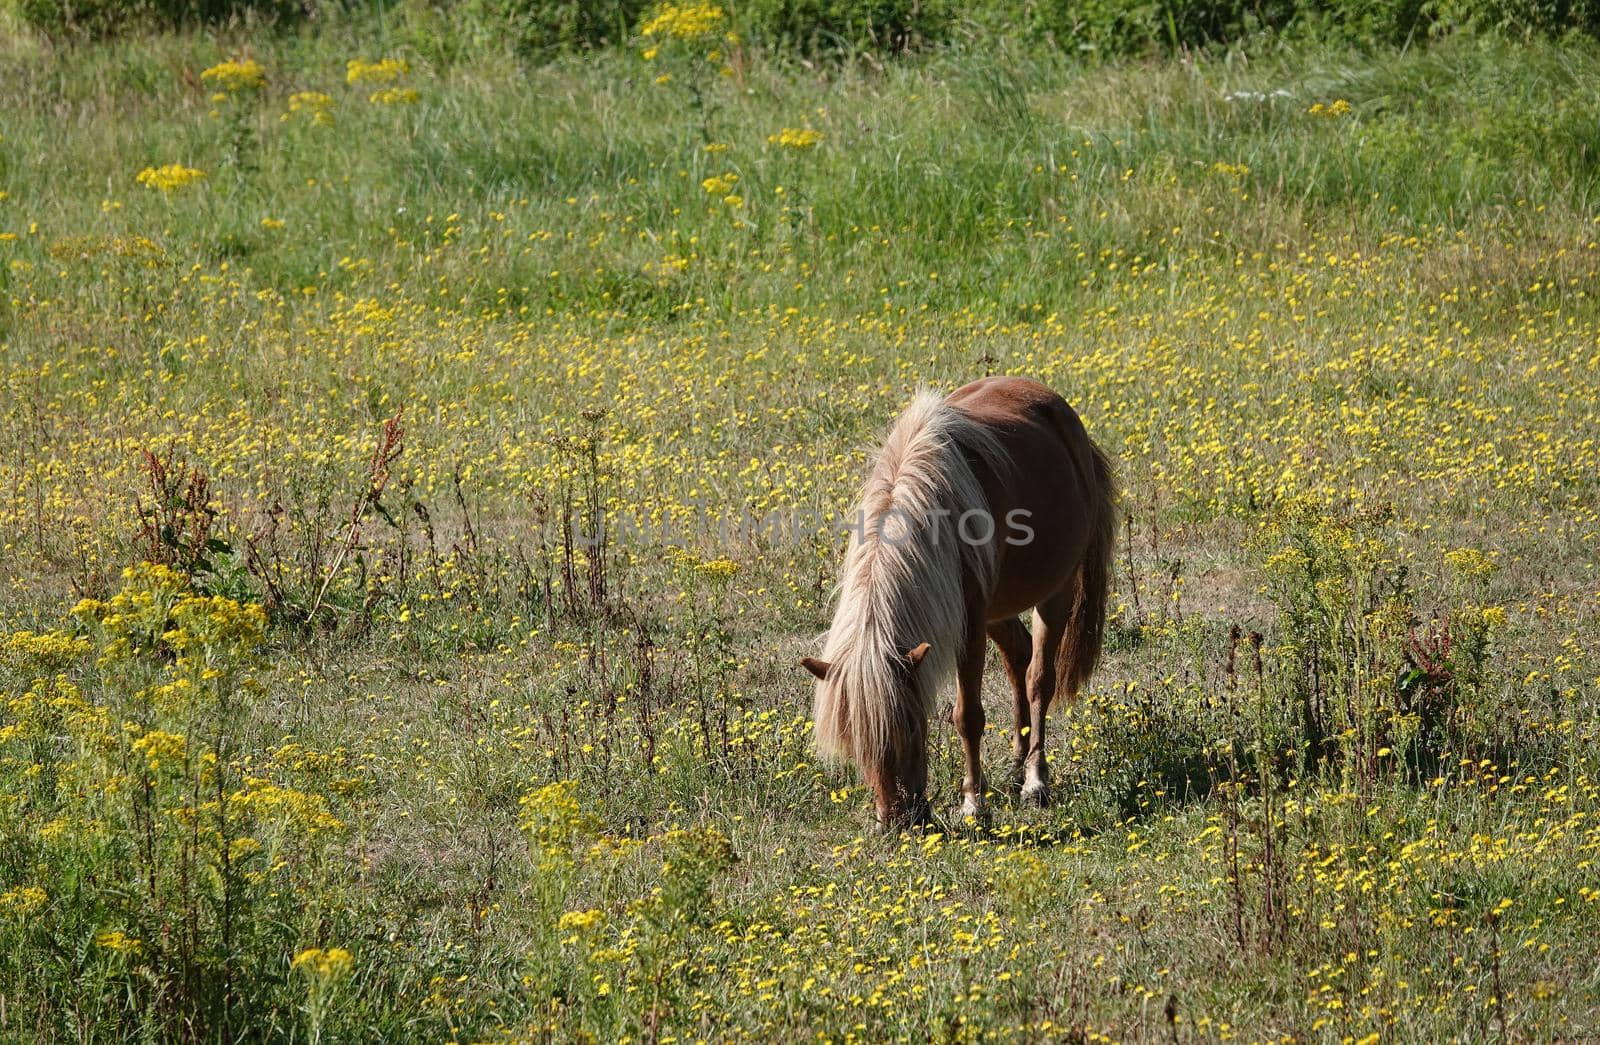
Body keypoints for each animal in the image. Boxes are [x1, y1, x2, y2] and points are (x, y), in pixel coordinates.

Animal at [796, 374, 1113, 825]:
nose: (896, 821)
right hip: (998, 608)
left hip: (1055, 593)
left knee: (1038, 679)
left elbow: (967, 716)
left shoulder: (969, 630)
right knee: (1019, 657)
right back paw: (1015, 767)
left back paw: (1035, 781)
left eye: (911, 725)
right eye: (854, 738)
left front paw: (973, 805)